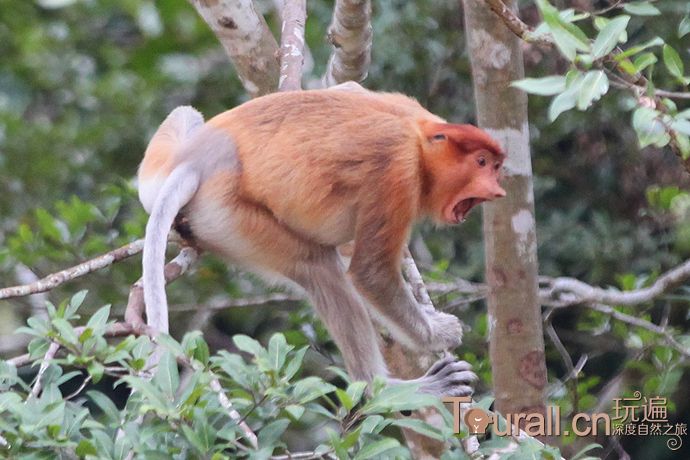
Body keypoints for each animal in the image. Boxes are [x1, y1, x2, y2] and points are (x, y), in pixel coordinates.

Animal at [138, 84, 506, 398]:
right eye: (481, 162)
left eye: (495, 166)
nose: (497, 191)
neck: (420, 140)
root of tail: (195, 162)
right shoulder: (396, 169)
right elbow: (371, 274)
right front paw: (440, 333)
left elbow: (348, 88)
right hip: (229, 216)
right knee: (318, 267)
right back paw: (384, 388)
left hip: (157, 174)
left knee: (185, 114)